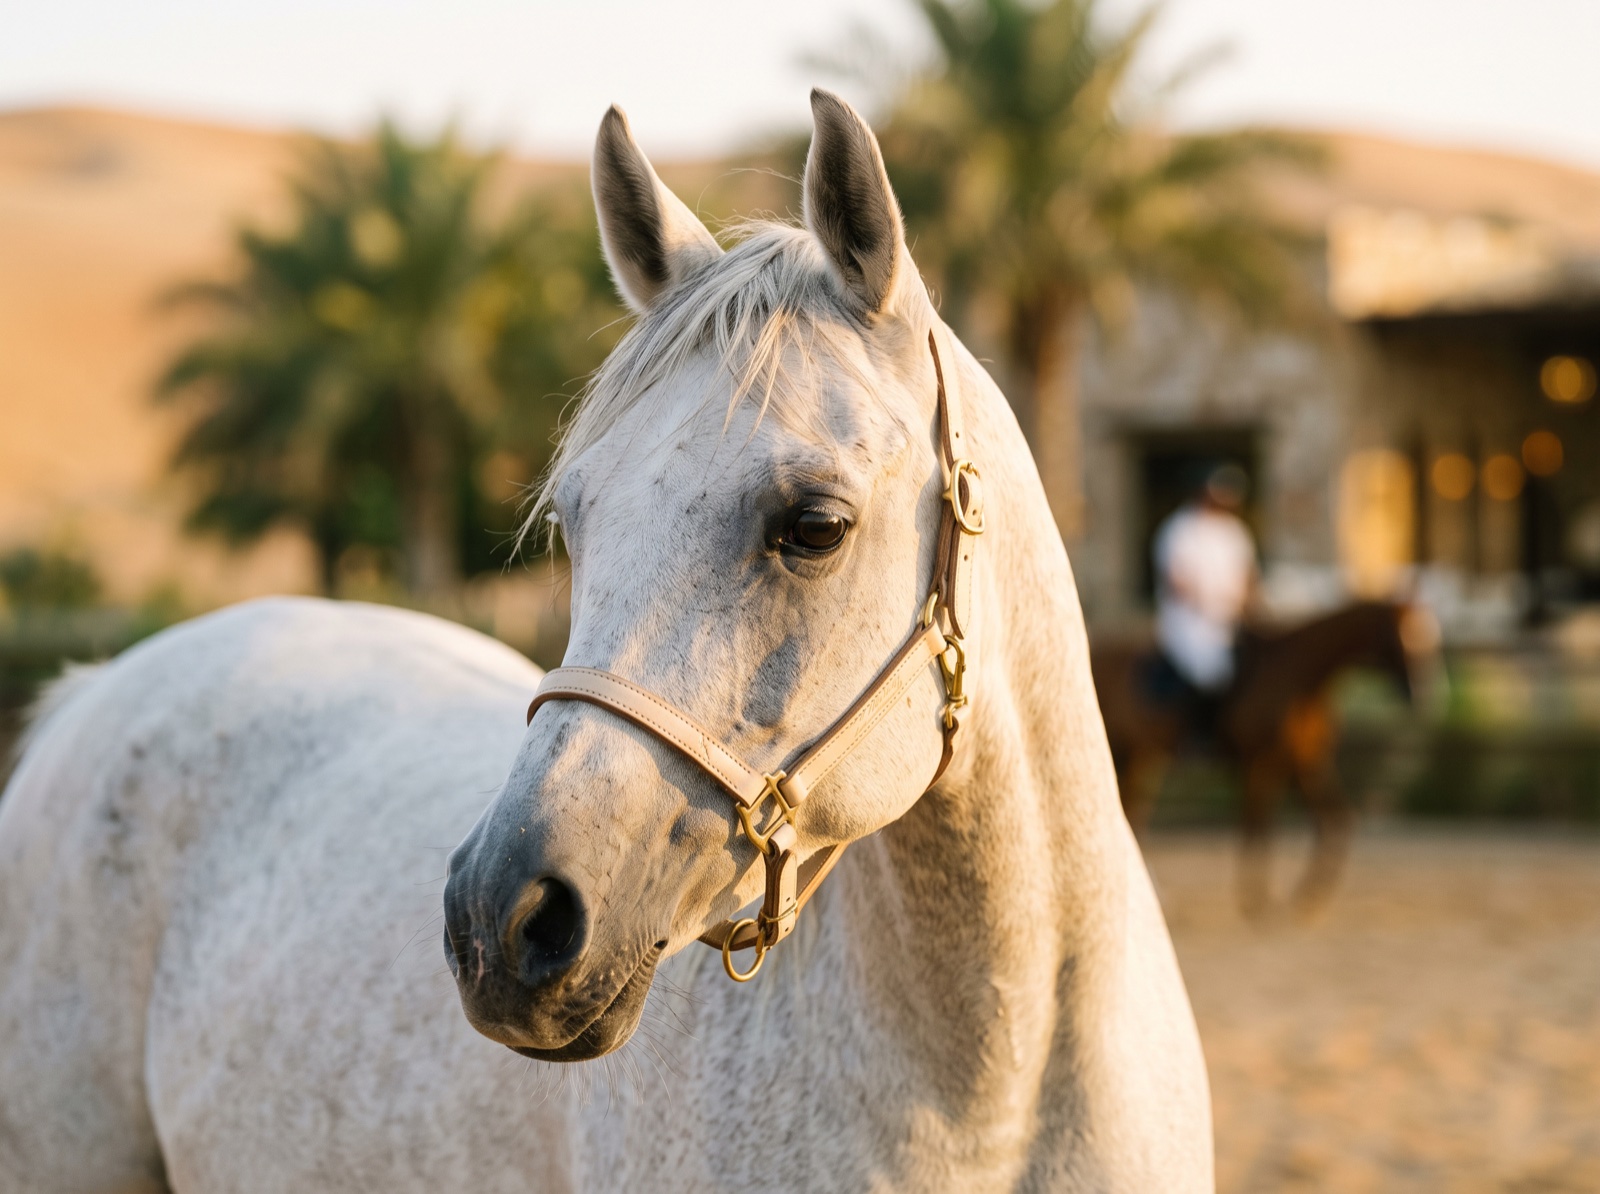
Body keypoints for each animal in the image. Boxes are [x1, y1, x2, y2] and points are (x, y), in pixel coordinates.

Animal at [1093, 600, 1420, 917]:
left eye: (1423, 638)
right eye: (1400, 638)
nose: (1417, 694)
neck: (1295, 679)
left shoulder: (1303, 764)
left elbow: (1335, 822)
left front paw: (1309, 899)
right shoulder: (1259, 763)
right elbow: (1257, 828)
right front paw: (1257, 901)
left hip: (1142, 756)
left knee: (1133, 814)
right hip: (1125, 753)